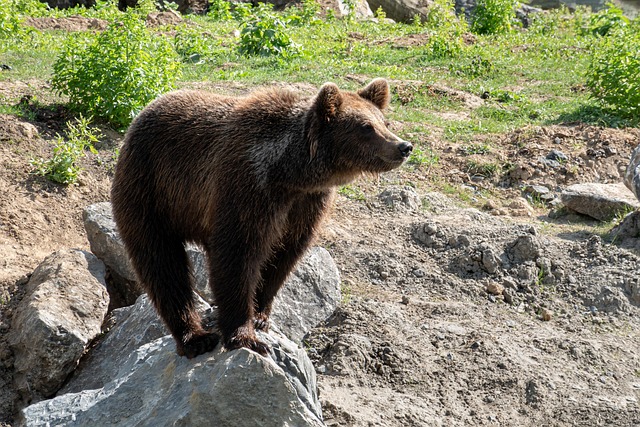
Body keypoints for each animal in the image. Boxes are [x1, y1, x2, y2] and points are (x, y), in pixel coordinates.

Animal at [111, 78, 412, 358]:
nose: (403, 146)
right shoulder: (248, 189)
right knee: (161, 263)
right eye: (365, 127)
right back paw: (195, 338)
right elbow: (237, 256)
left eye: (384, 121)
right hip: (151, 191)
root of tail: (143, 113)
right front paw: (246, 336)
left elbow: (283, 257)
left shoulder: (305, 206)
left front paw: (260, 315)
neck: (289, 173)